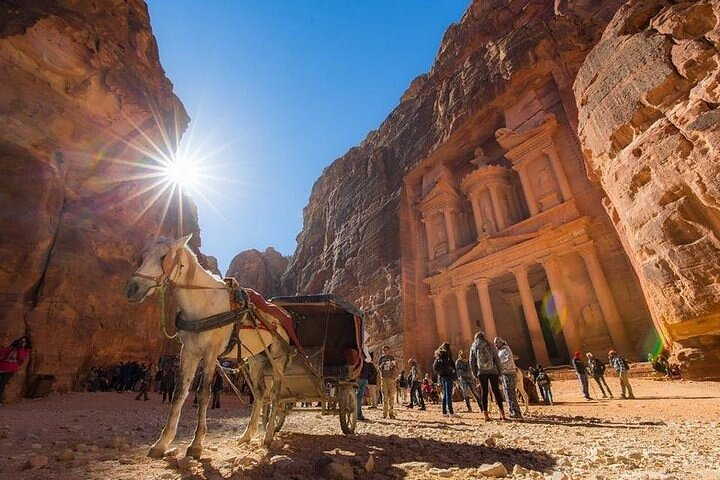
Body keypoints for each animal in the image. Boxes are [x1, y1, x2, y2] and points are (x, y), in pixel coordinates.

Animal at [126, 234, 290, 460]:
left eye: (163, 257)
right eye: (141, 256)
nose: (132, 289)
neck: (202, 303)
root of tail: (284, 317)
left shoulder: (211, 353)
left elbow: (203, 393)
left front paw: (196, 444)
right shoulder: (189, 352)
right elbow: (179, 393)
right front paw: (162, 443)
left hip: (277, 359)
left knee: (274, 395)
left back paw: (269, 436)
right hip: (255, 359)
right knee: (259, 393)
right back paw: (247, 435)